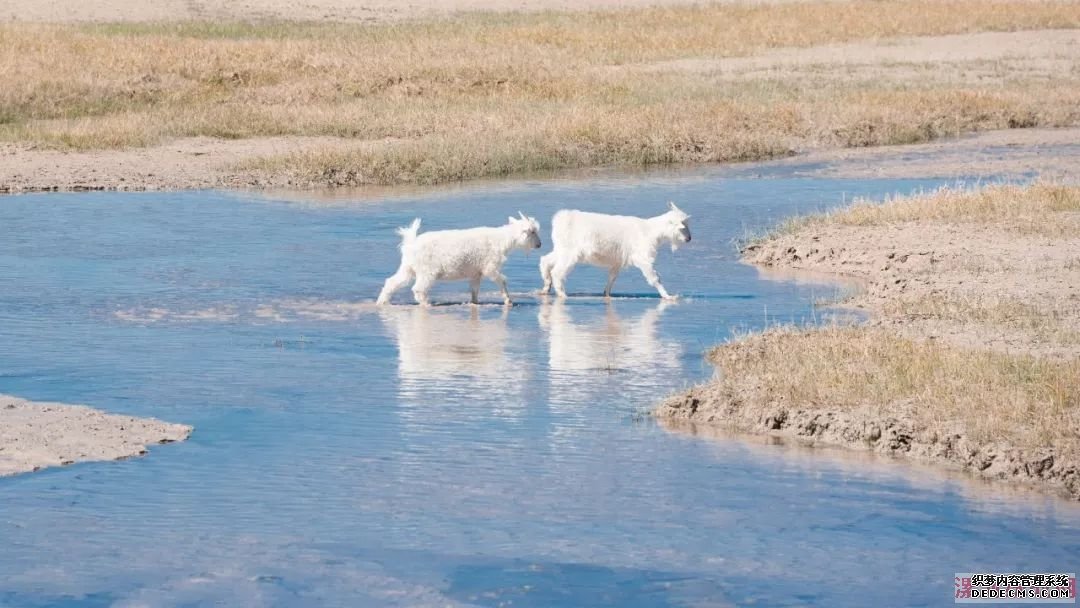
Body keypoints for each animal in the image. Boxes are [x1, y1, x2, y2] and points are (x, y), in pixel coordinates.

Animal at [378, 214, 544, 308]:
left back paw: (381, 302)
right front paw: (508, 301)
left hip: (408, 267)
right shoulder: (489, 266)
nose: (539, 245)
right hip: (427, 271)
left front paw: (475, 303)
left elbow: (475, 289)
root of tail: (410, 243)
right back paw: (427, 304)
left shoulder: (476, 272)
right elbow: (501, 281)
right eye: (532, 232)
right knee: (418, 289)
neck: (502, 240)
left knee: (392, 282)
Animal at [540, 203, 691, 300]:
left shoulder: (617, 262)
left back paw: (546, 287)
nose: (689, 238)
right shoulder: (642, 257)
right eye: (682, 227)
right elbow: (655, 278)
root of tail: (559, 219)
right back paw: (562, 294)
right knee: (557, 272)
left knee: (545, 260)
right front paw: (668, 296)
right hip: (569, 253)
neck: (651, 231)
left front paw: (606, 294)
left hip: (561, 249)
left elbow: (611, 279)